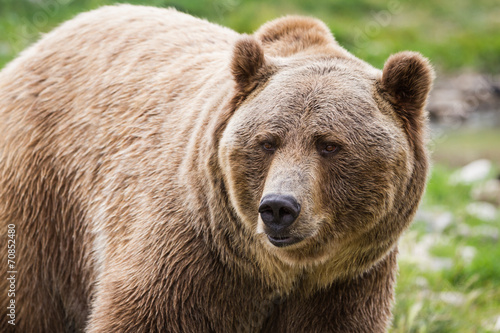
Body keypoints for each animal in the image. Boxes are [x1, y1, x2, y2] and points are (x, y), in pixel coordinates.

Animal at [0, 3, 432, 332]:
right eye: (267, 141)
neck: (277, 271)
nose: (279, 208)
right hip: (41, 205)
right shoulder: (187, 260)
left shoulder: (344, 286)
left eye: (329, 145)